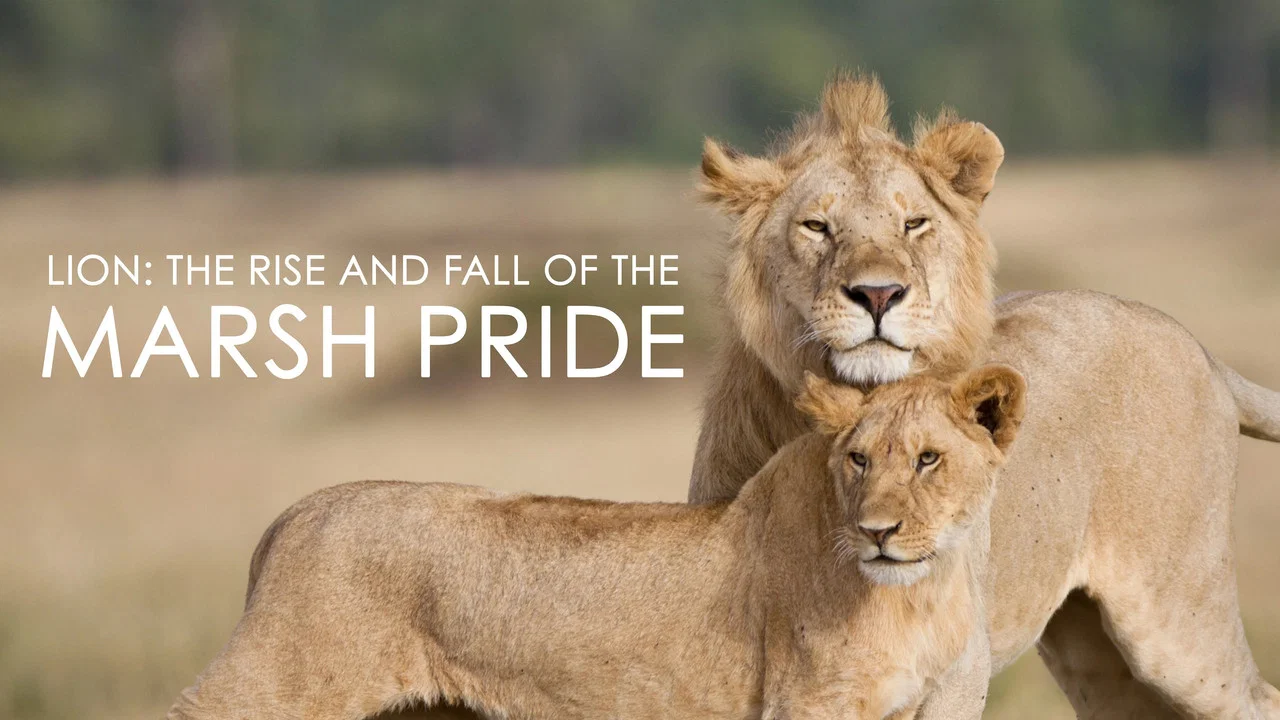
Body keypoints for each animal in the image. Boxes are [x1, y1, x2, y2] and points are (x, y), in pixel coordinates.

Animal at [166, 367, 1025, 720]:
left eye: (928, 460)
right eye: (858, 460)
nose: (877, 532)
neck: (918, 593)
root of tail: (295, 513)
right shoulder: (808, 706)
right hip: (271, 687)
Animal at [688, 72, 1280, 719]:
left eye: (914, 224)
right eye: (816, 227)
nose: (878, 294)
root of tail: (1201, 349)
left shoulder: (958, 669)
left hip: (1178, 619)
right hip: (1094, 654)